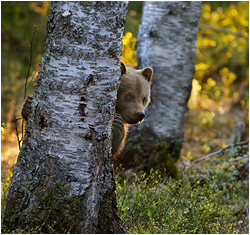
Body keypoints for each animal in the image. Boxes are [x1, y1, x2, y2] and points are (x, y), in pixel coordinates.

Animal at [21, 62, 152, 157]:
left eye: (144, 98)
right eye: (128, 96)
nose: (140, 114)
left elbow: (114, 149)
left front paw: (117, 126)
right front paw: (28, 104)